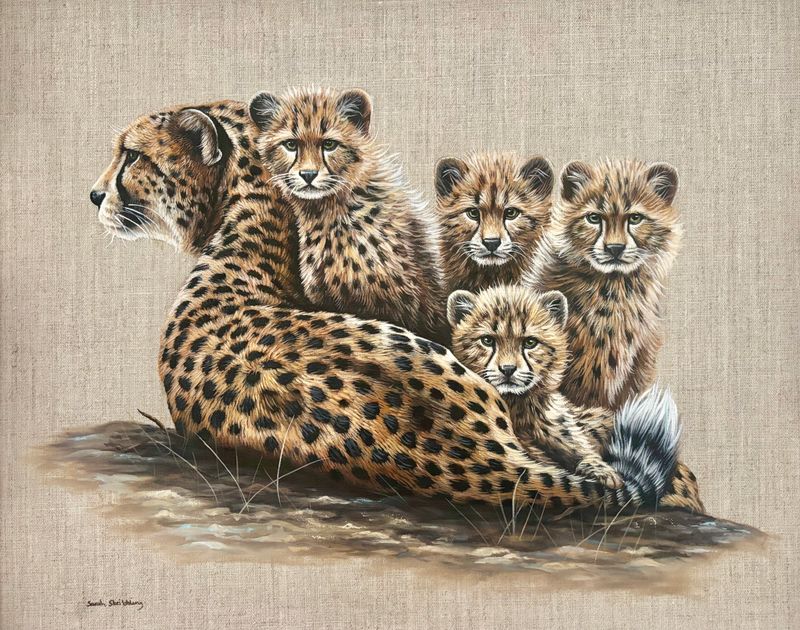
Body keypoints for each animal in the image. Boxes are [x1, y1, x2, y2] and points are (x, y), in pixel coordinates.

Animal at [447, 284, 704, 512]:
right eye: (487, 340)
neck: (518, 403)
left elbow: (578, 446)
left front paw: (601, 470)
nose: (508, 370)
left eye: (530, 342)